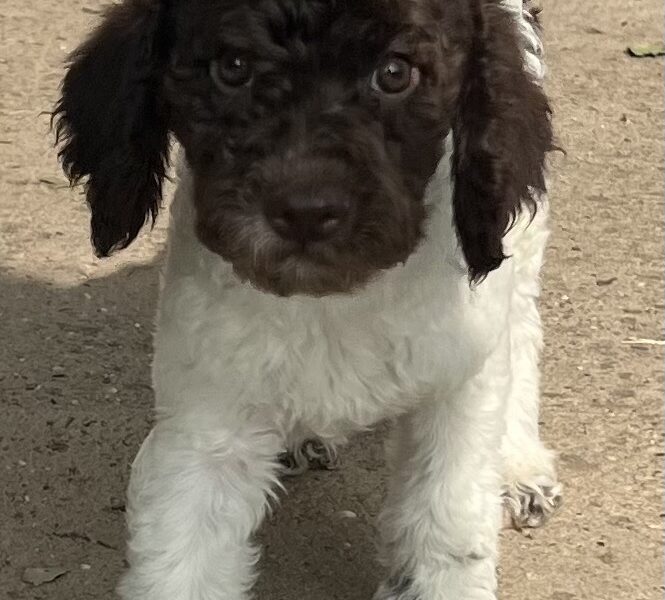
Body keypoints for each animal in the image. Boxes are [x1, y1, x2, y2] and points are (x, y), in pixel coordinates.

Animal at [53, 1, 560, 600]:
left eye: (396, 73)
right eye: (233, 67)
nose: (306, 211)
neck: (335, 298)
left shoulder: (457, 393)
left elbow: (448, 531)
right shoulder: (206, 427)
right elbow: (182, 561)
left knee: (521, 328)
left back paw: (519, 464)